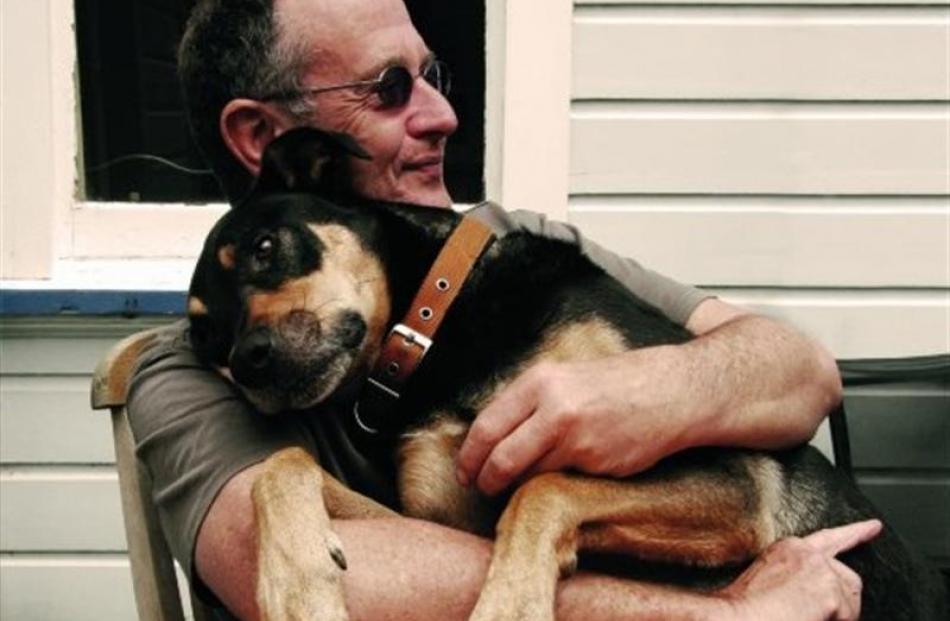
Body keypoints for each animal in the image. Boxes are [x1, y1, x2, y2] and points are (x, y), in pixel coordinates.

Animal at [190, 127, 948, 620]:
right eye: (206, 336)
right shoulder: (449, 521)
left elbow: (544, 486)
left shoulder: (732, 483)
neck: (442, 330)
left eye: (264, 247)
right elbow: (281, 464)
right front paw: (298, 583)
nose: (249, 358)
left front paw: (508, 608)